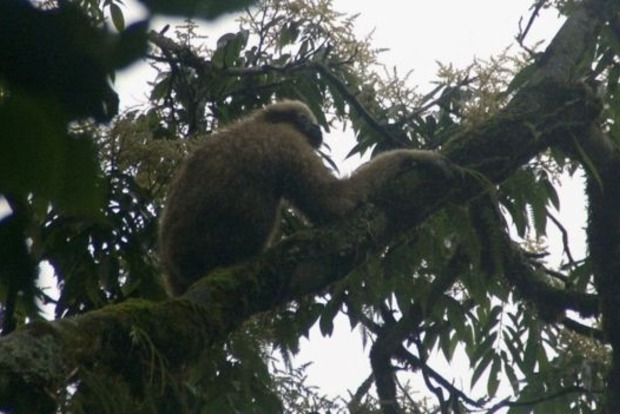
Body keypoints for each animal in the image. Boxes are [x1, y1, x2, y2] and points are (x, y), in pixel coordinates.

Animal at [159, 100, 450, 294]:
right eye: (309, 120)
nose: (318, 127)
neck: (261, 123)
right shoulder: (288, 142)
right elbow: (334, 202)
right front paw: (413, 156)